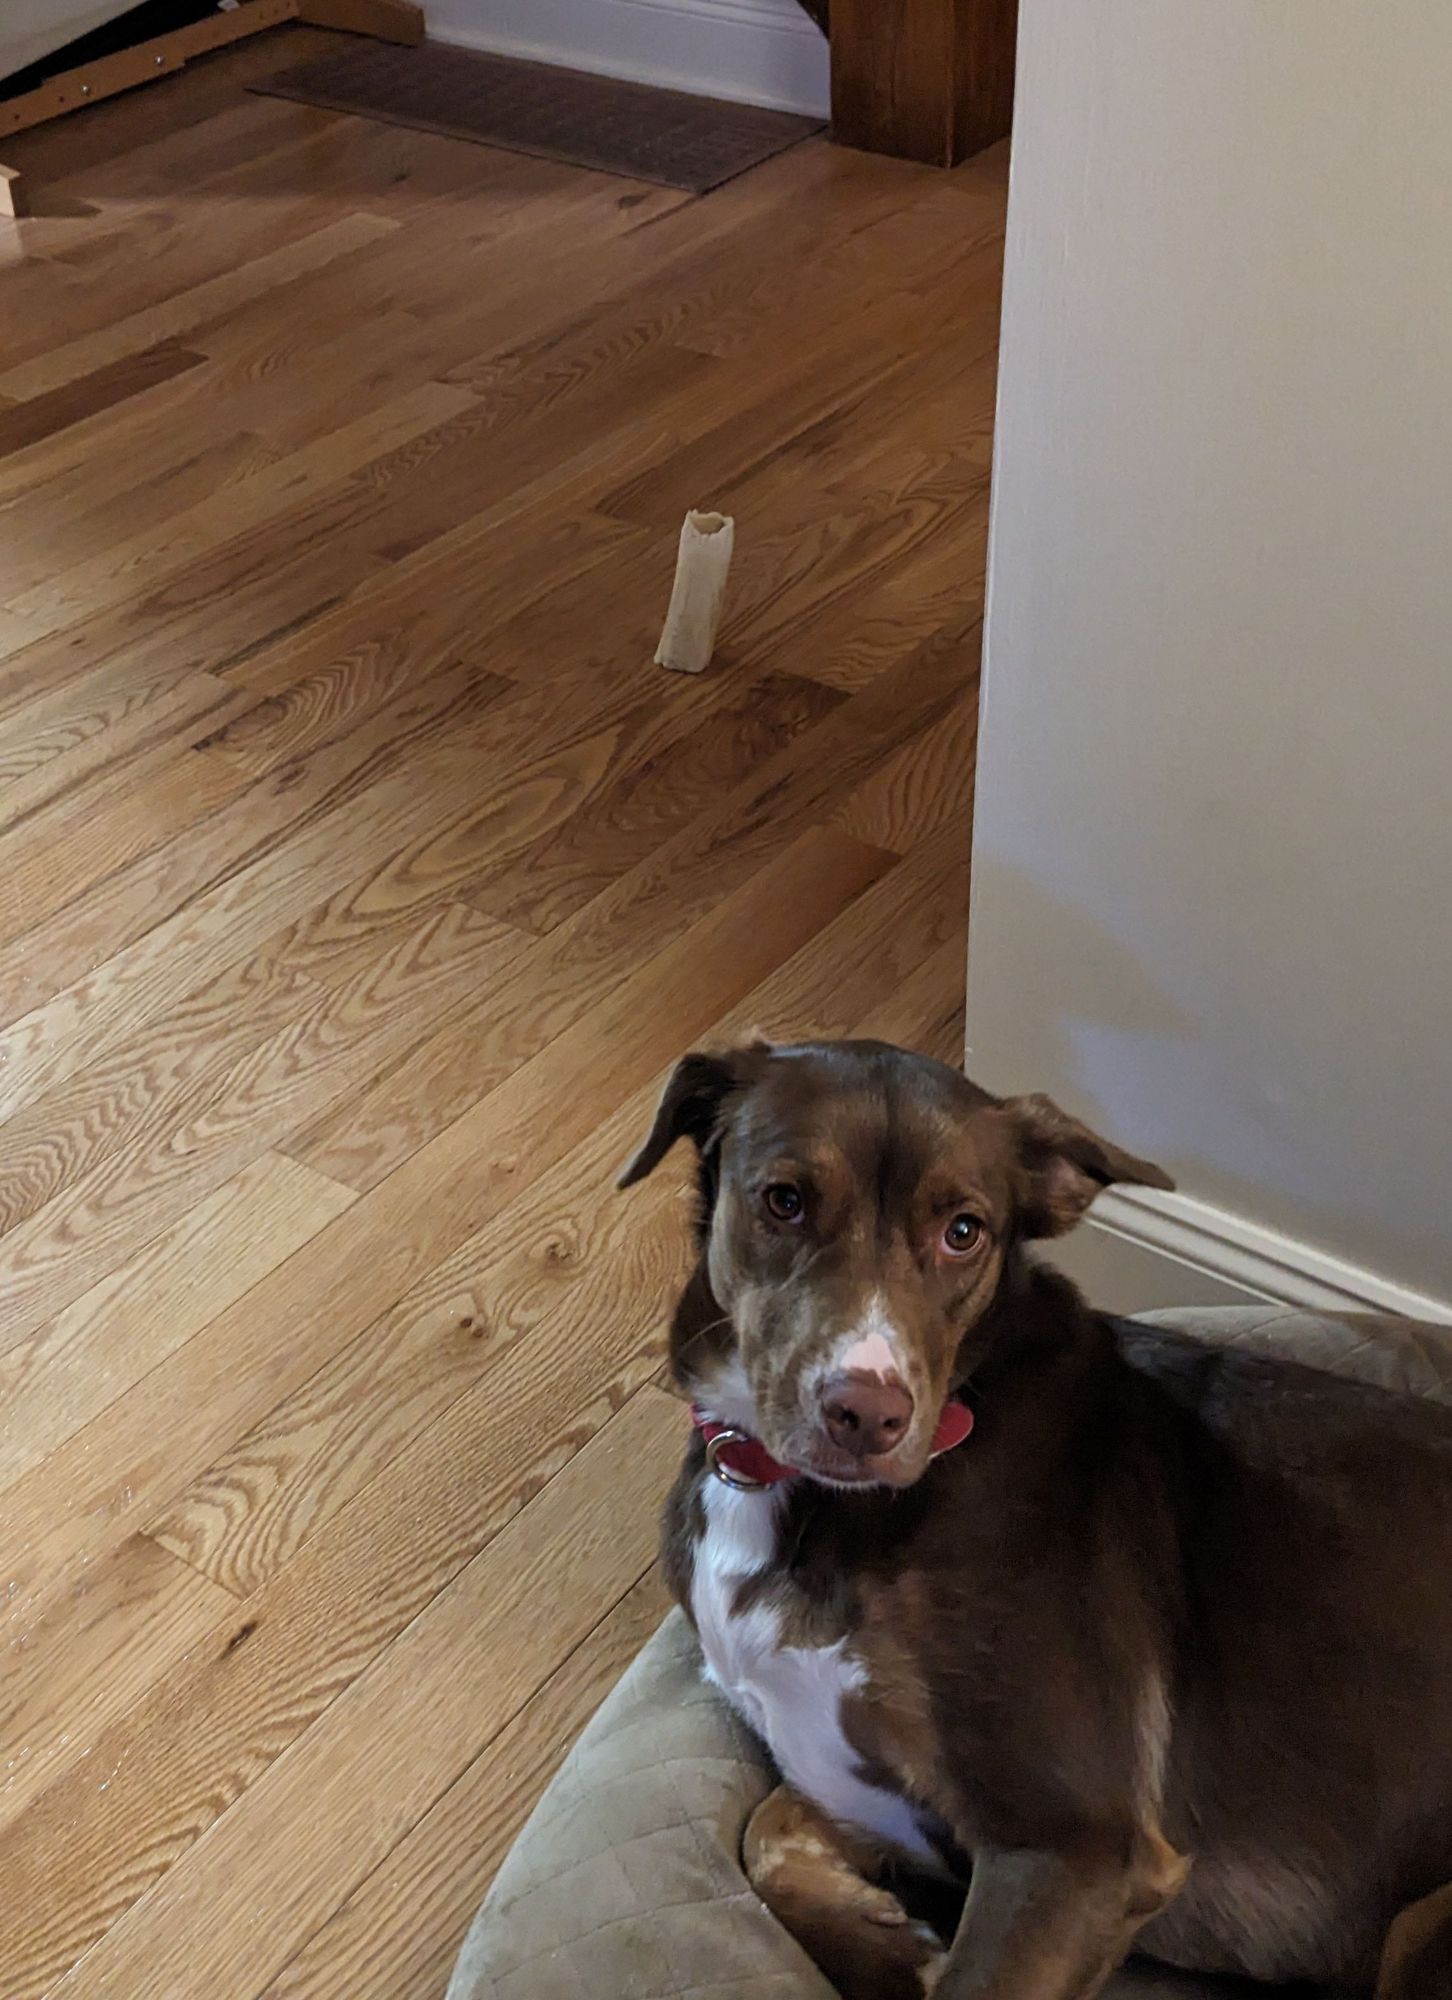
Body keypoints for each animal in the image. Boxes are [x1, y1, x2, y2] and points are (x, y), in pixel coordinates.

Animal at [624, 1040, 1452, 2000]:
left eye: (965, 1232)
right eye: (784, 1200)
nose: (869, 1415)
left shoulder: (1075, 1849)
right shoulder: (869, 1787)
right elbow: (767, 1833)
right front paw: (893, 1948)